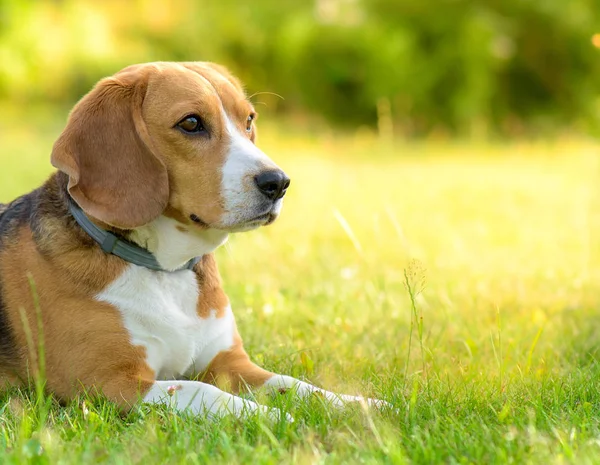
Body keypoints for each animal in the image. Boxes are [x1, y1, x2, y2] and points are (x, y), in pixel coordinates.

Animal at [0, 60, 384, 416]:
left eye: (248, 120)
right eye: (190, 123)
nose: (278, 182)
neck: (166, 271)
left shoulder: (230, 364)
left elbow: (298, 385)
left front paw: (362, 405)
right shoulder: (107, 383)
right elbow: (203, 391)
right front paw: (273, 416)